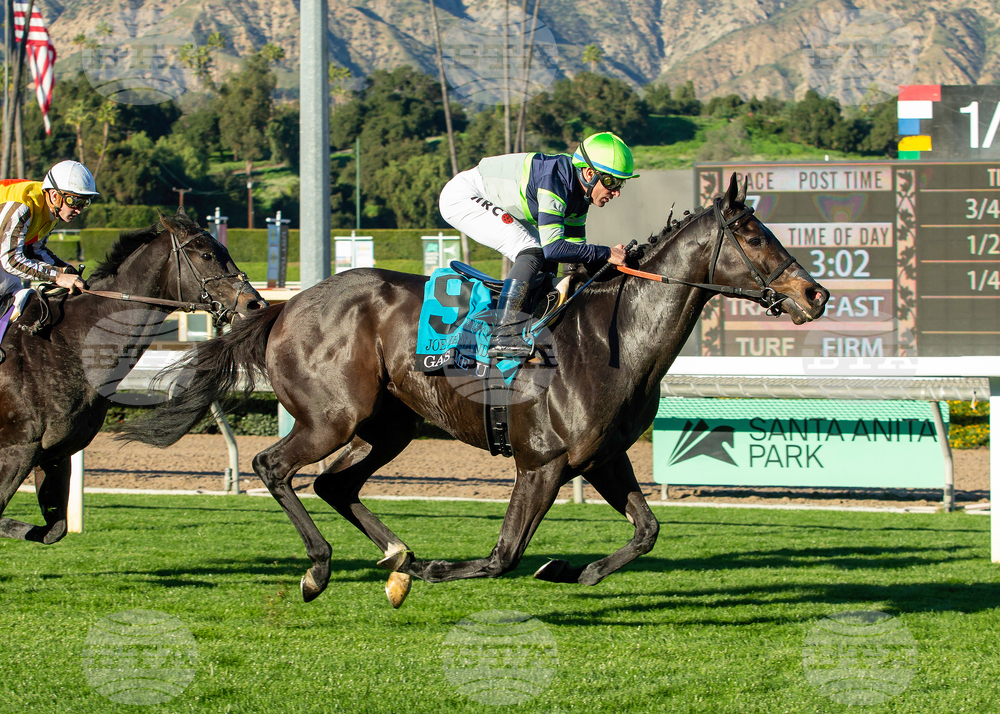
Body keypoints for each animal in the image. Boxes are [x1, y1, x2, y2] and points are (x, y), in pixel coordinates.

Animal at [0, 208, 266, 545]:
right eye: (207, 254)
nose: (255, 303)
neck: (63, 342)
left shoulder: (55, 453)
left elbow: (53, 530)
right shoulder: (17, 449)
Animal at [121, 174, 829, 608]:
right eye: (753, 235)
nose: (814, 293)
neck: (613, 338)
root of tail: (282, 306)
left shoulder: (602, 458)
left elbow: (647, 532)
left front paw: (572, 568)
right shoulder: (542, 463)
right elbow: (503, 554)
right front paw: (448, 571)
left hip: (390, 426)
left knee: (334, 484)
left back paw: (398, 555)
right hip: (331, 417)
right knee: (275, 467)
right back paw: (322, 568)